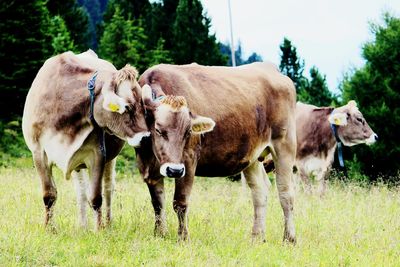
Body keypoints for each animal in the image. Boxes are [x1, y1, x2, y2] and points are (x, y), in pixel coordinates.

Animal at [21, 50, 148, 230]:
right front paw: (49, 228)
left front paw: (99, 229)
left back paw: (108, 223)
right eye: (127, 107)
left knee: (108, 188)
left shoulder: (98, 155)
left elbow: (96, 197)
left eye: (143, 107)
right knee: (81, 192)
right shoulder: (38, 152)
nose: (146, 138)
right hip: (77, 165)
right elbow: (49, 195)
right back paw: (82, 226)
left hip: (111, 158)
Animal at [138, 62, 296, 243]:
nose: (174, 170)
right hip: (252, 156)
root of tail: (271, 68)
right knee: (260, 191)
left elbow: (180, 202)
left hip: (285, 147)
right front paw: (159, 234)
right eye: (158, 129)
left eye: (188, 132)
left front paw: (183, 238)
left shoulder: (188, 159)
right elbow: (157, 202)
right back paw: (257, 237)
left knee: (286, 193)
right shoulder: (148, 165)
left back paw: (289, 238)